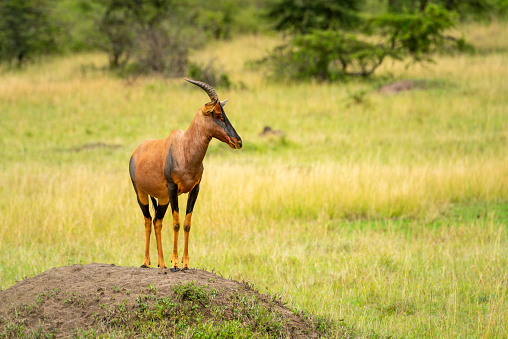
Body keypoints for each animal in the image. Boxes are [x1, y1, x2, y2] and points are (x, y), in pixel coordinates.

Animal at [130, 79, 243, 270]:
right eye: (217, 114)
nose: (238, 141)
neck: (184, 147)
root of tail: (137, 152)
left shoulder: (195, 189)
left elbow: (187, 224)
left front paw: (185, 263)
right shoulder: (172, 188)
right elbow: (176, 223)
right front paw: (175, 262)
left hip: (163, 198)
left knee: (157, 221)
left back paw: (162, 264)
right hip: (141, 193)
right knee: (147, 220)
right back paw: (146, 262)